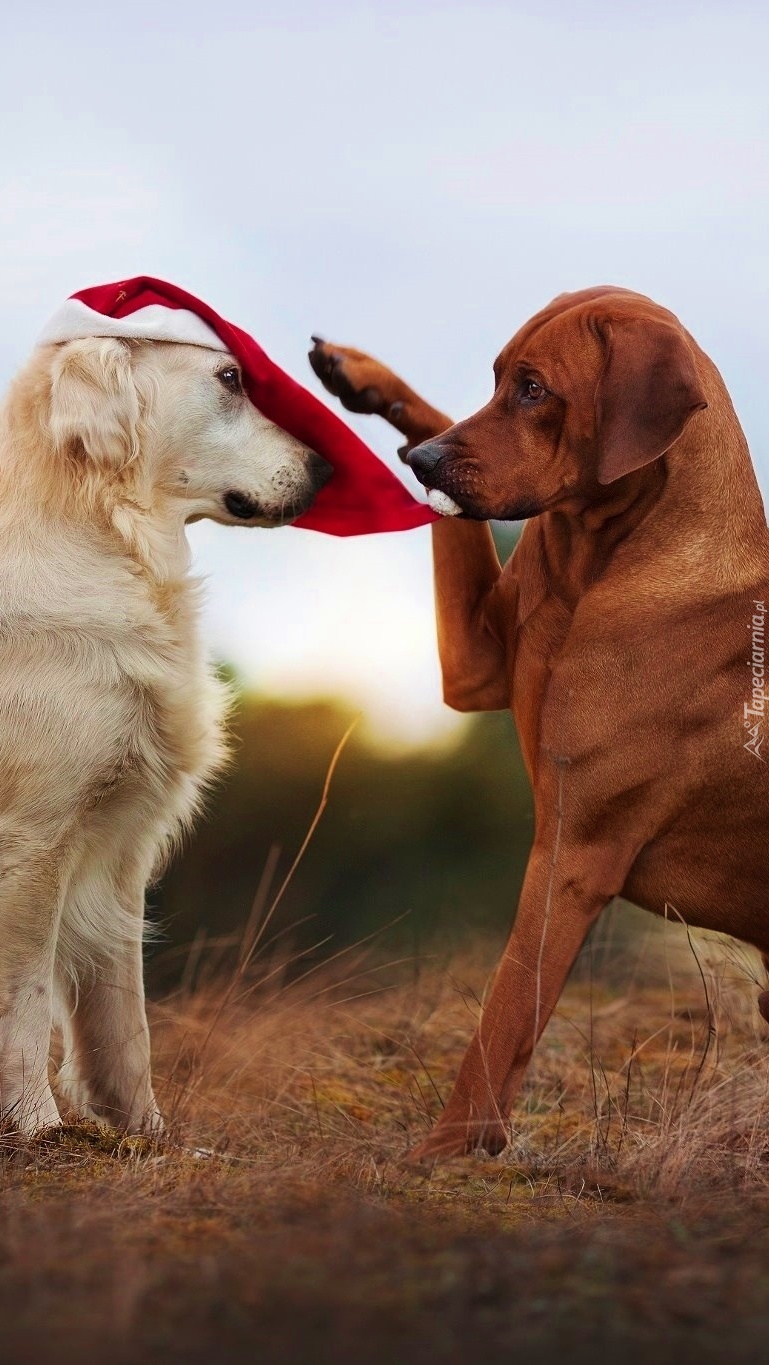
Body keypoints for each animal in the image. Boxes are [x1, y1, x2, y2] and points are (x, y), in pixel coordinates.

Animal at [0, 324, 327, 1135]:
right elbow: (25, 994)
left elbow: (123, 1012)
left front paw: (141, 1130)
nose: (328, 467)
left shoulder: (120, 845)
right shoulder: (33, 837)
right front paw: (35, 1123)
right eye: (231, 377)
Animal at [310, 288, 769, 1162]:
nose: (423, 466)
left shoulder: (573, 852)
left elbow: (504, 1011)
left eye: (534, 389)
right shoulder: (474, 663)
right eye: (497, 379)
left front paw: (447, 1149)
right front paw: (367, 378)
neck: (606, 557)